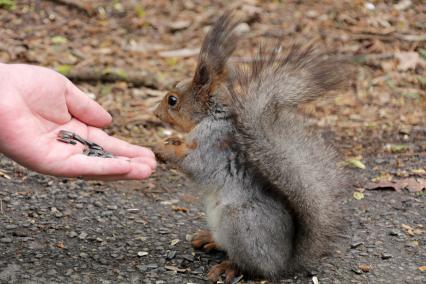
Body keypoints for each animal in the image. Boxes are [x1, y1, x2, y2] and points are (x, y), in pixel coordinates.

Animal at [153, 11, 350, 284]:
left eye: (172, 101)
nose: (155, 114)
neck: (212, 117)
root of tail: (284, 261)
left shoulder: (213, 145)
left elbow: (194, 164)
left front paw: (163, 150)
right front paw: (171, 141)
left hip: (240, 223)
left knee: (252, 268)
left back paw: (229, 268)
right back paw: (209, 239)